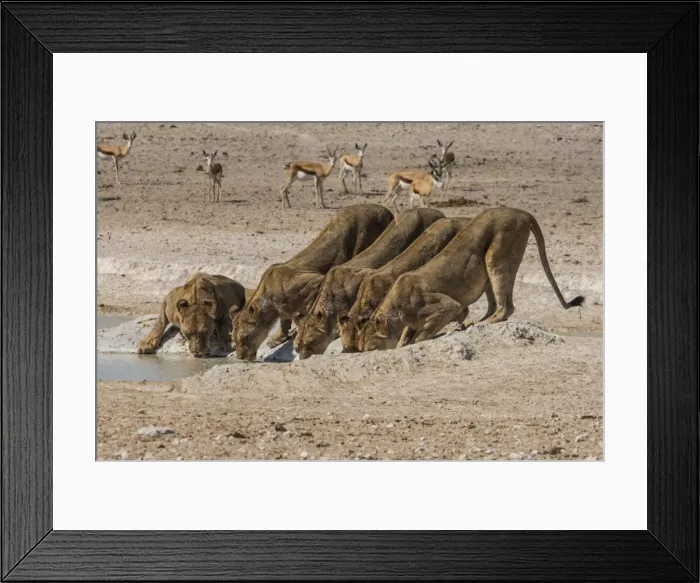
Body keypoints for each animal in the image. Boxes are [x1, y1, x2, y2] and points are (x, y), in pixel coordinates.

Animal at [230, 204, 394, 361]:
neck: (269, 299)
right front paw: (278, 338)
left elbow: (308, 312)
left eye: (244, 339)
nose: (240, 357)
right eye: (234, 341)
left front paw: (299, 331)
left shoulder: (315, 282)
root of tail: (384, 209)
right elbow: (284, 320)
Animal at [358, 207, 585, 352]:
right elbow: (407, 335)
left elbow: (422, 335)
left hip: (497, 254)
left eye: (370, 347)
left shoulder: (448, 306)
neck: (396, 309)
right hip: (487, 270)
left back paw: (479, 323)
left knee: (506, 308)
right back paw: (477, 322)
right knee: (495, 306)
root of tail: (521, 212)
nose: (363, 352)